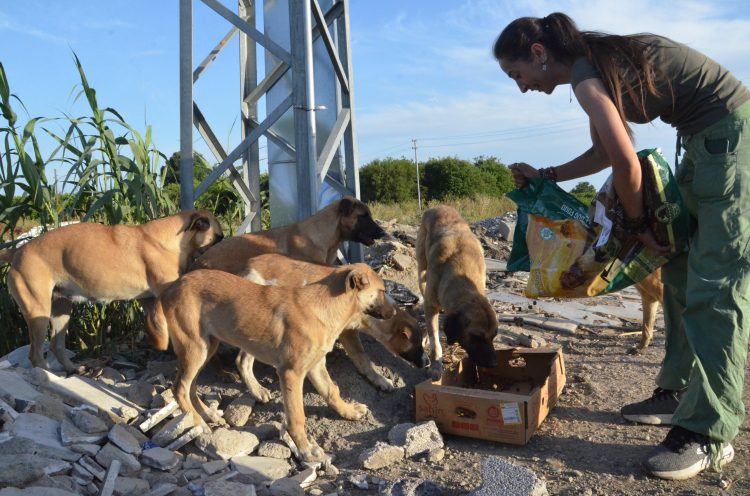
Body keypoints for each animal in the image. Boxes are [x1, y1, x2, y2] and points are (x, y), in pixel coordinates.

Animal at [0, 209, 223, 372]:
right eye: (219, 238)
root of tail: (19, 249)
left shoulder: (149, 301)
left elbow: (159, 330)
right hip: (38, 311)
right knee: (35, 354)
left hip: (60, 309)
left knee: (56, 345)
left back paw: (73, 371)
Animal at [150, 266, 396, 464]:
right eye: (383, 291)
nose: (394, 313)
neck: (324, 306)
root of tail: (169, 289)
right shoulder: (290, 373)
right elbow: (297, 416)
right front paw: (306, 450)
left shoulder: (316, 365)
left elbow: (331, 391)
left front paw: (348, 411)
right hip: (195, 347)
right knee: (179, 388)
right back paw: (199, 424)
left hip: (207, 346)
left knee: (190, 386)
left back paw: (205, 414)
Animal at [241, 254, 428, 394]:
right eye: (416, 343)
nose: (427, 362)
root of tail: (247, 265)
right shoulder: (347, 332)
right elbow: (362, 357)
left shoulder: (349, 332)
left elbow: (363, 359)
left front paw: (378, 380)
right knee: (242, 361)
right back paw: (257, 390)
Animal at [418, 205, 500, 380]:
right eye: (476, 337)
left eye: (494, 336)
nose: (493, 364)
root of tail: (438, 206)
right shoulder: (430, 305)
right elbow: (435, 340)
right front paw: (436, 366)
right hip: (421, 273)